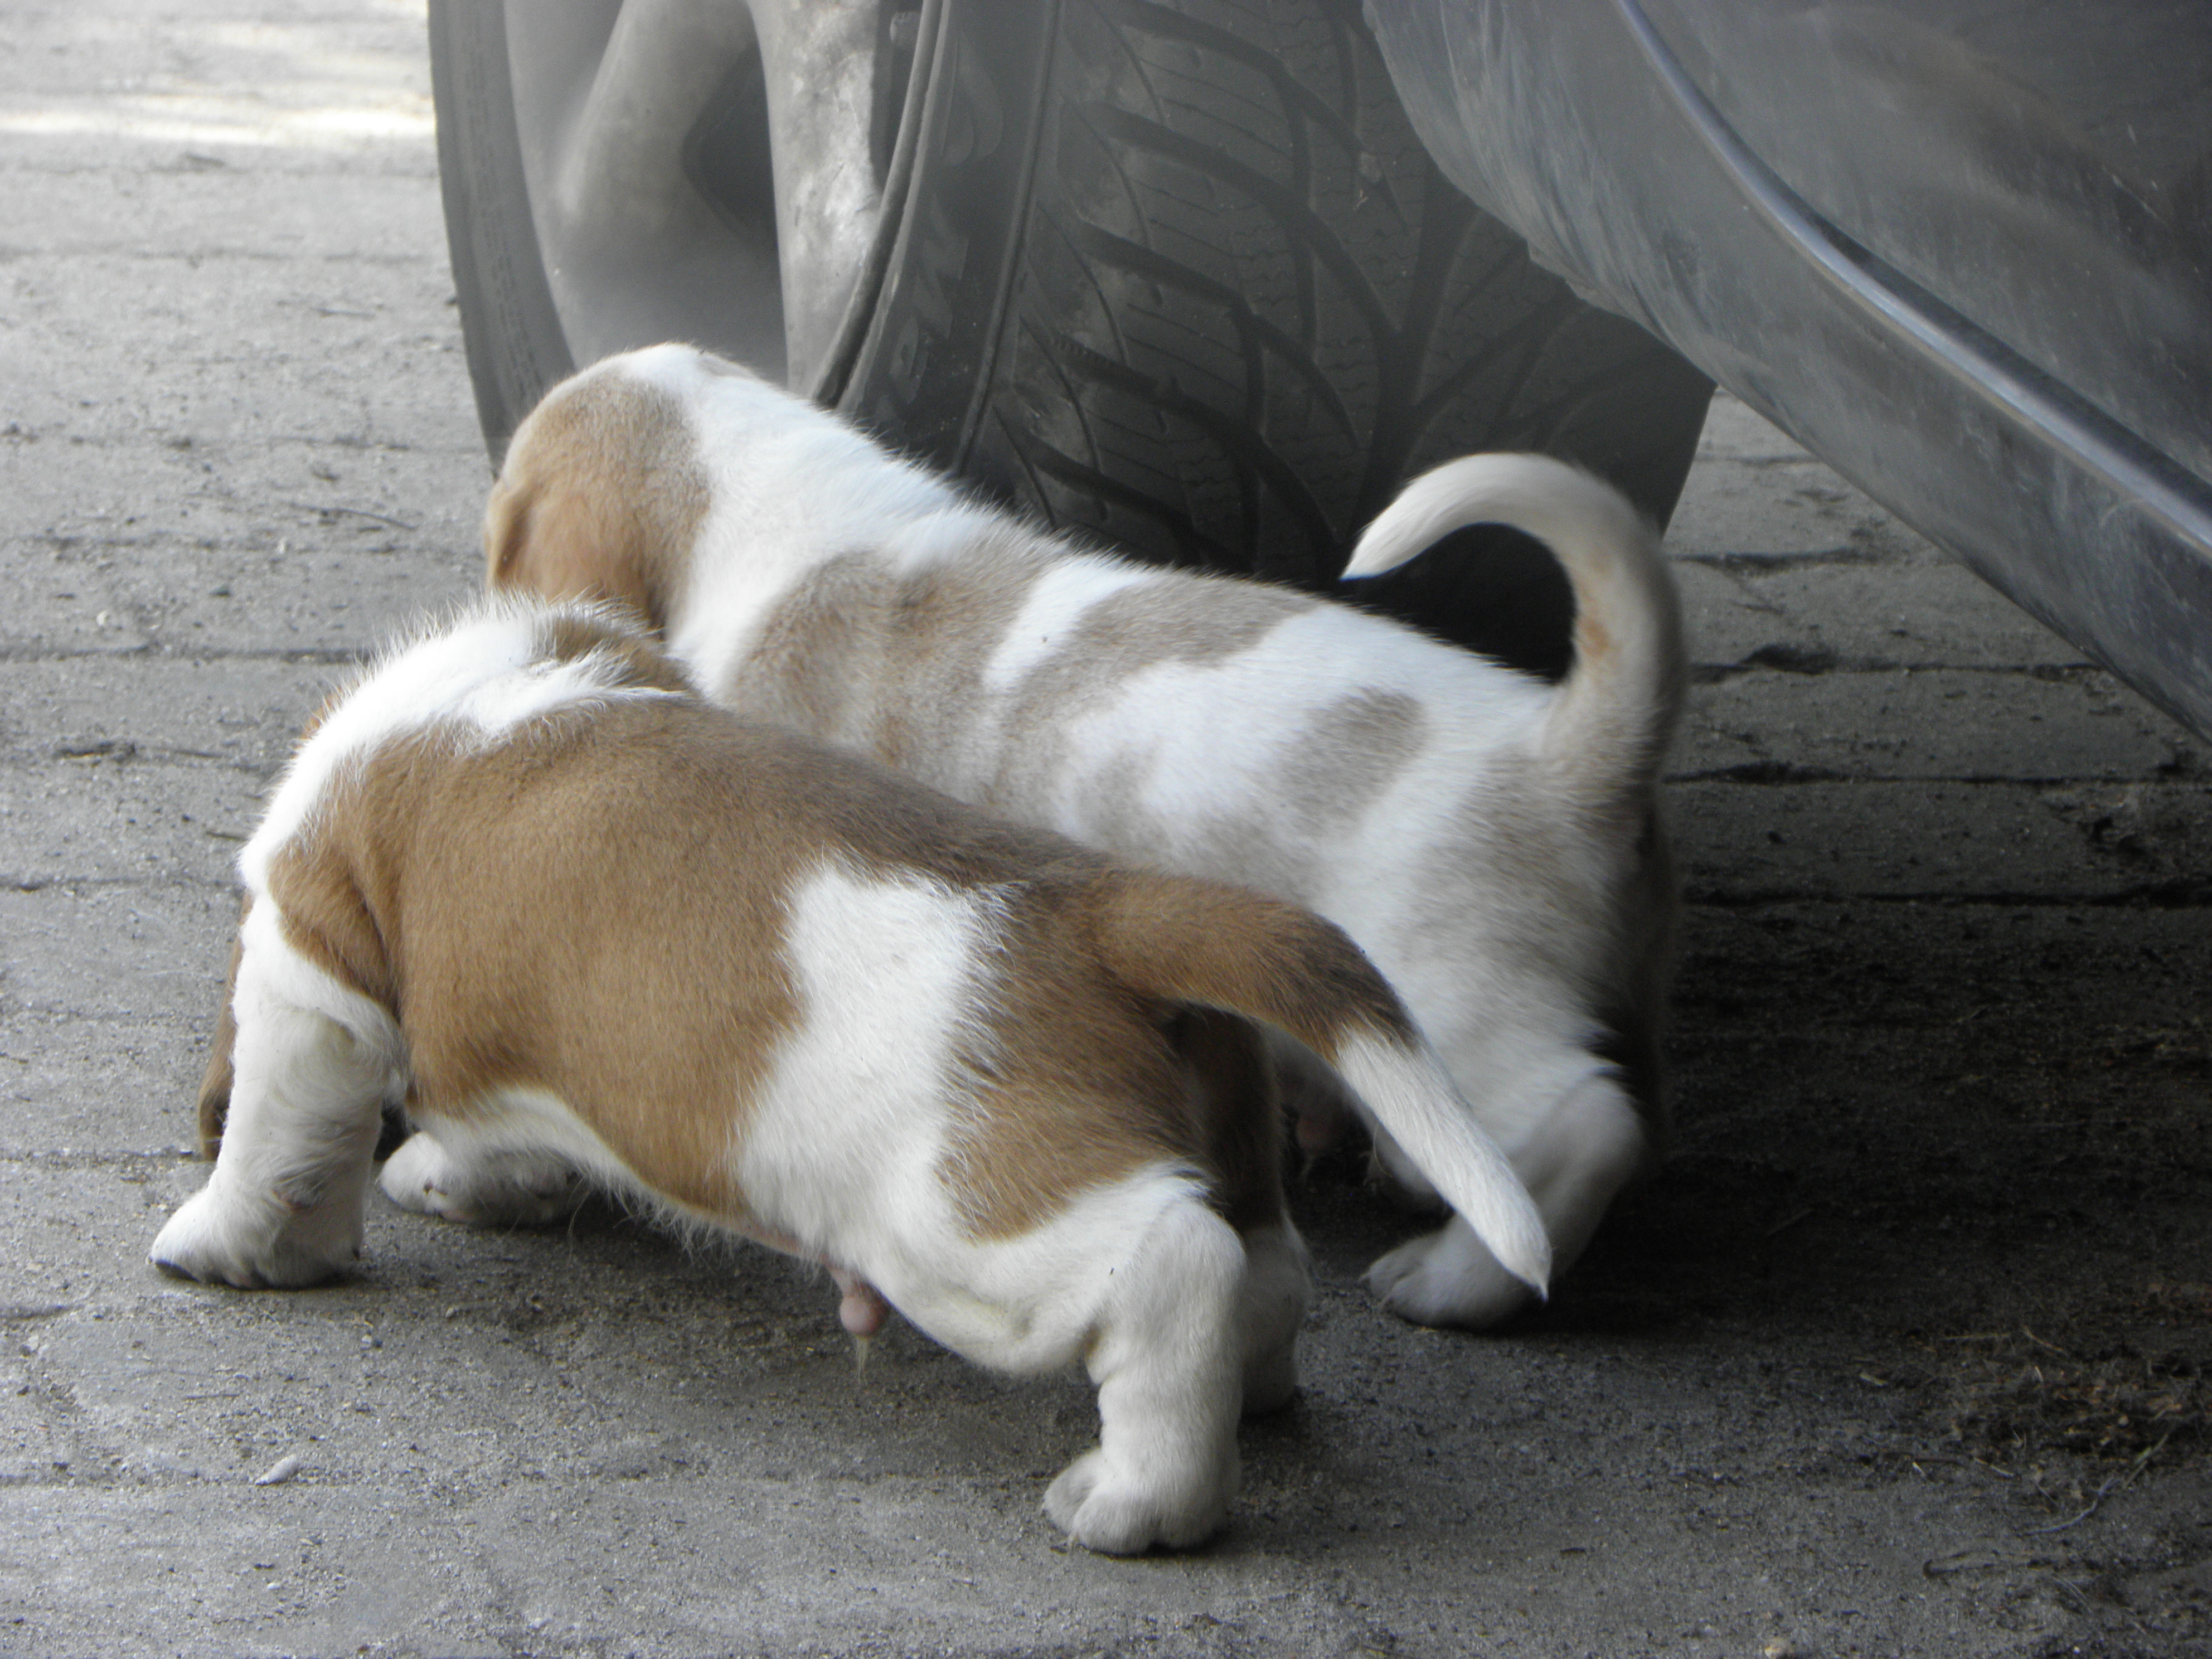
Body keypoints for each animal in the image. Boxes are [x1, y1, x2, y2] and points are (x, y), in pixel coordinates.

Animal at [151, 598, 1548, 1553]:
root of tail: (1101, 911)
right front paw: (466, 1177)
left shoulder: (311, 971)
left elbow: (279, 1142)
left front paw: (225, 1246)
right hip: (1228, 1138)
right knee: (1264, 1266)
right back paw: (1247, 1409)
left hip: (958, 1227)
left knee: (1170, 1272)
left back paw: (1135, 1503)